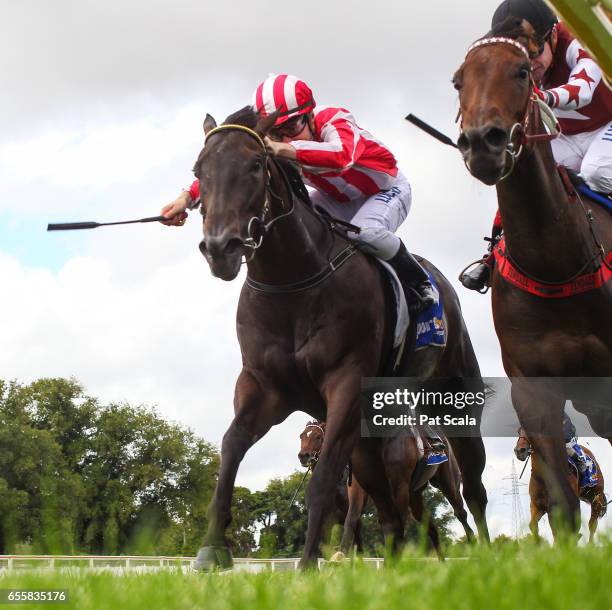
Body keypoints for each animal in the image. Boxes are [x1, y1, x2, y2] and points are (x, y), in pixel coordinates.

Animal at [194, 107, 490, 568]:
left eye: (256, 164)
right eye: (198, 171)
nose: (220, 248)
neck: (293, 283)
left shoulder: (347, 383)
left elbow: (323, 479)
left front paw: (307, 566)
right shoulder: (264, 387)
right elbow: (231, 449)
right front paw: (211, 549)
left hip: (455, 399)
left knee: (472, 492)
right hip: (367, 446)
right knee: (393, 517)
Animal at [454, 17, 612, 532]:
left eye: (522, 72)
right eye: (458, 81)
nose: (483, 142)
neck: (555, 263)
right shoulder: (533, 388)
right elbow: (561, 506)